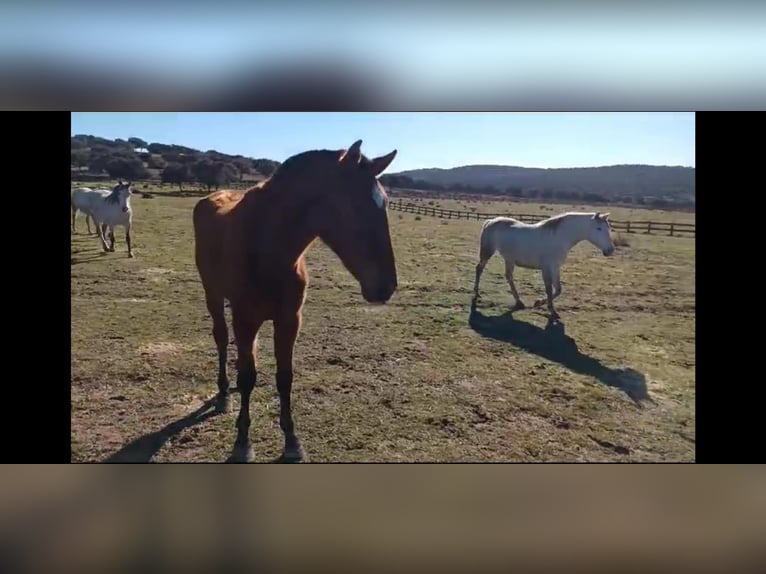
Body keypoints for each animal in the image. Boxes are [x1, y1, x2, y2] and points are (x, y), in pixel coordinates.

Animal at [194, 140, 402, 464]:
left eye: (386, 203)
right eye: (354, 206)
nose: (386, 287)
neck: (267, 248)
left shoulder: (290, 320)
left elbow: (285, 377)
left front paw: (292, 441)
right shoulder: (245, 320)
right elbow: (248, 377)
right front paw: (242, 442)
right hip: (213, 295)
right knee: (221, 338)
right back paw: (224, 393)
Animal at [474, 212, 616, 322]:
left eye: (608, 228)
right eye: (598, 228)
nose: (610, 250)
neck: (559, 237)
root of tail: (490, 221)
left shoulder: (555, 267)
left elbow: (558, 289)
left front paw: (539, 303)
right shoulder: (546, 267)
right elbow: (548, 288)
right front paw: (551, 311)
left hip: (509, 259)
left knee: (508, 276)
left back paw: (519, 302)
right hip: (488, 252)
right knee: (479, 269)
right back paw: (477, 293)